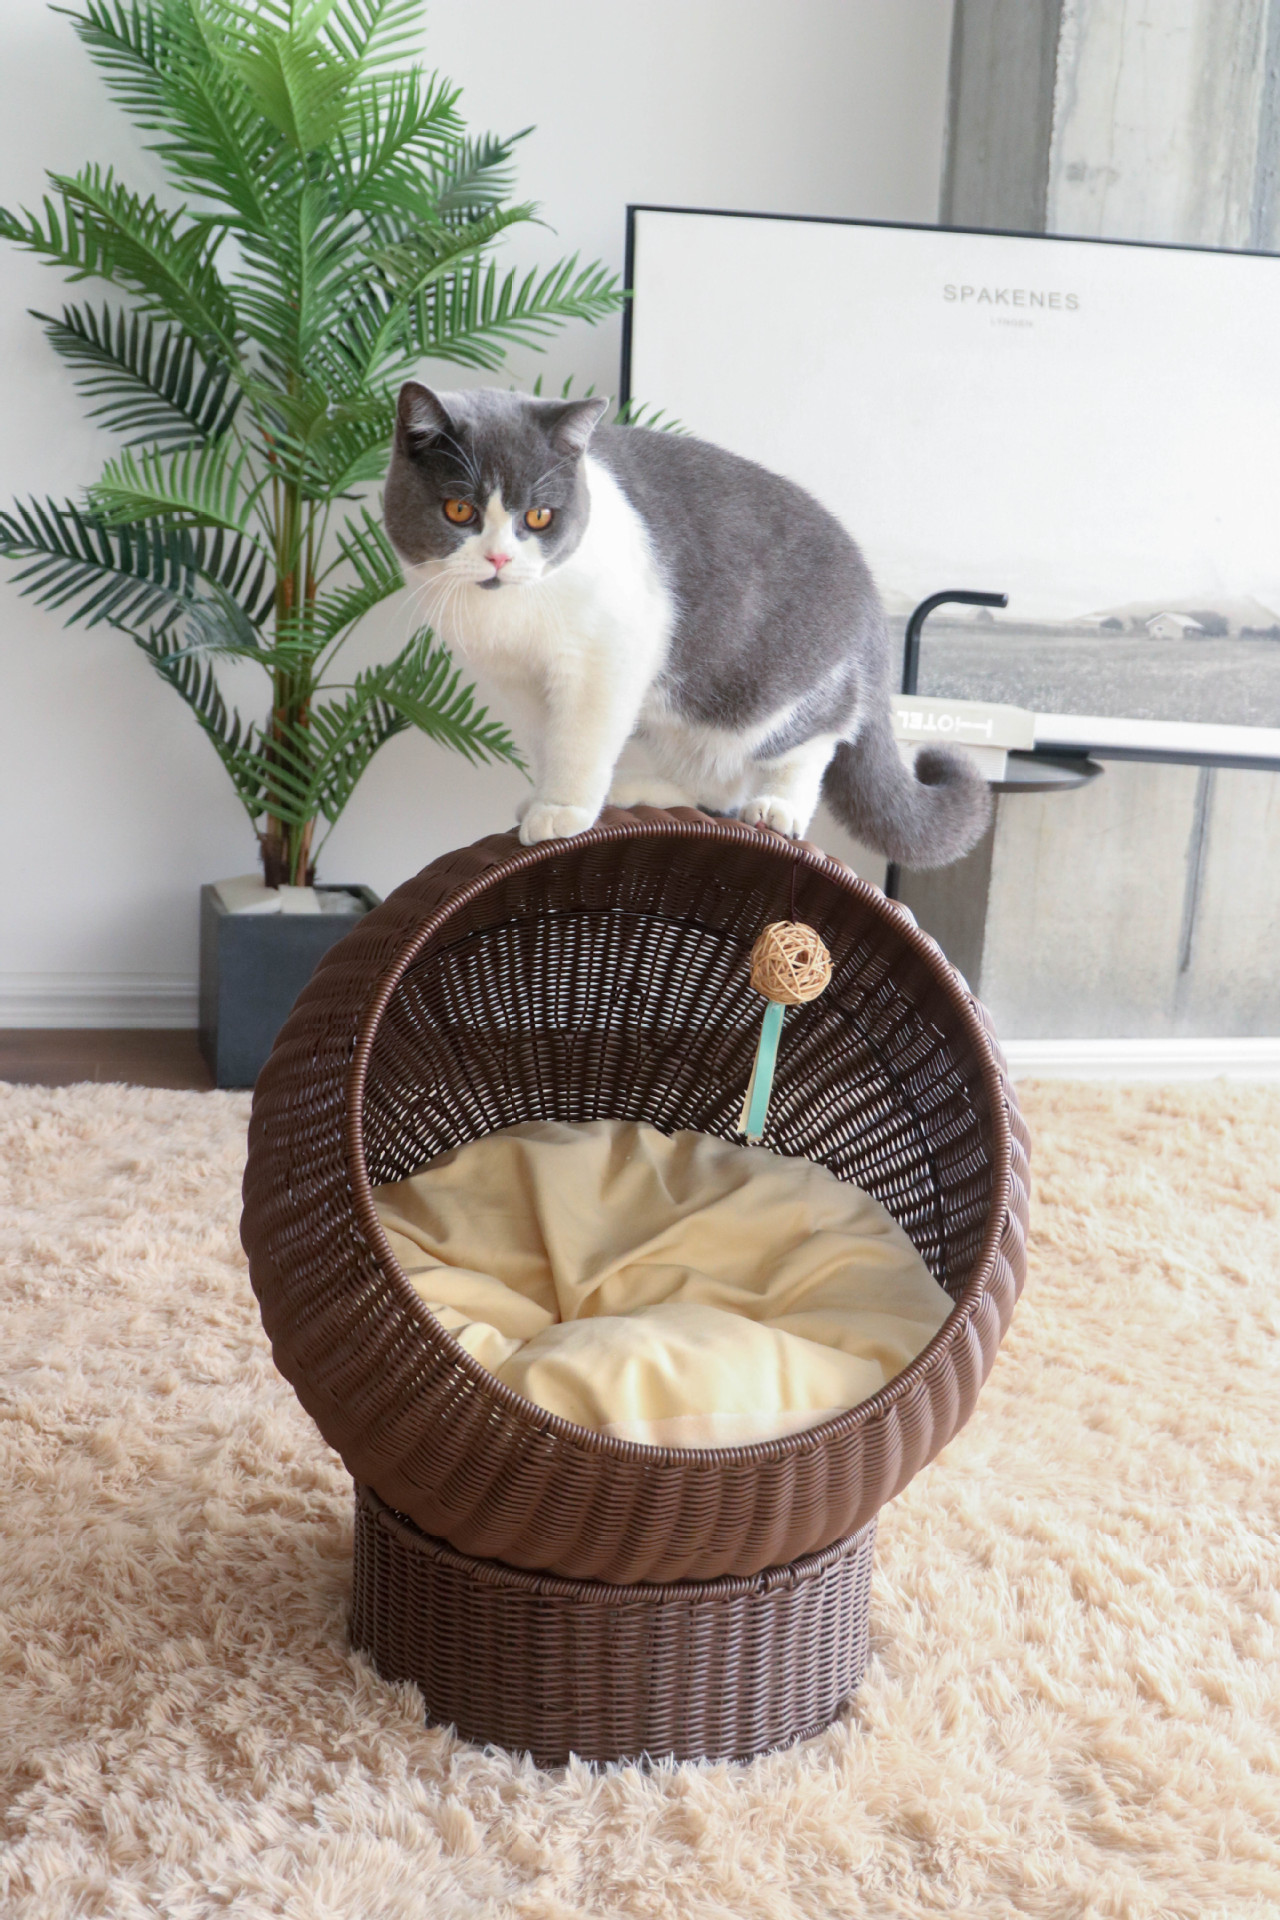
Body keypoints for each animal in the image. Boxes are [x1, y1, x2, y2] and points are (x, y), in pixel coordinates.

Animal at [383, 383, 990, 864]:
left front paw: (563, 811)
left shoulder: (606, 656)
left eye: (538, 516)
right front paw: (543, 798)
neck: (509, 618)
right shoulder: (515, 682)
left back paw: (777, 805)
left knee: (813, 737)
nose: (499, 558)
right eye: (459, 511)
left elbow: (578, 739)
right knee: (714, 783)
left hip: (779, 682)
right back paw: (641, 790)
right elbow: (544, 740)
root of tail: (869, 591)